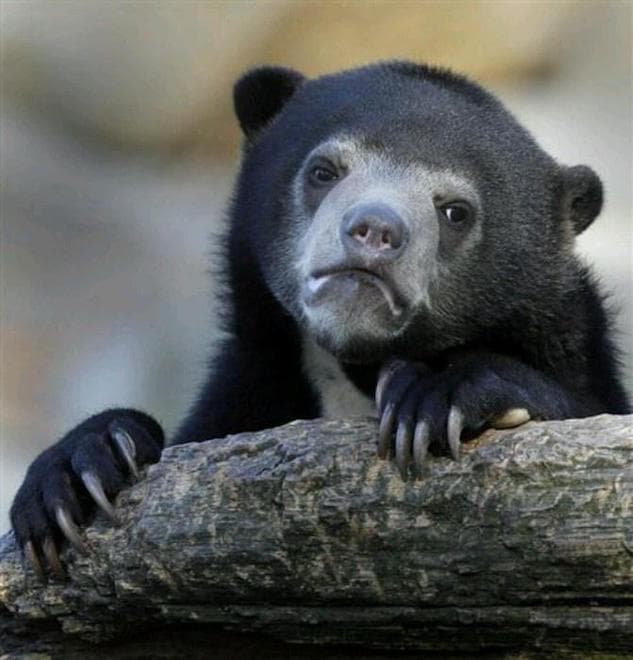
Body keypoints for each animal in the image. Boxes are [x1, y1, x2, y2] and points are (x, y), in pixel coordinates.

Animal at [10, 61, 630, 578]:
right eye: (324, 171)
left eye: (455, 211)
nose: (375, 231)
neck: (353, 368)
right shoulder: (255, 383)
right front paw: (77, 472)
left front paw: (434, 396)